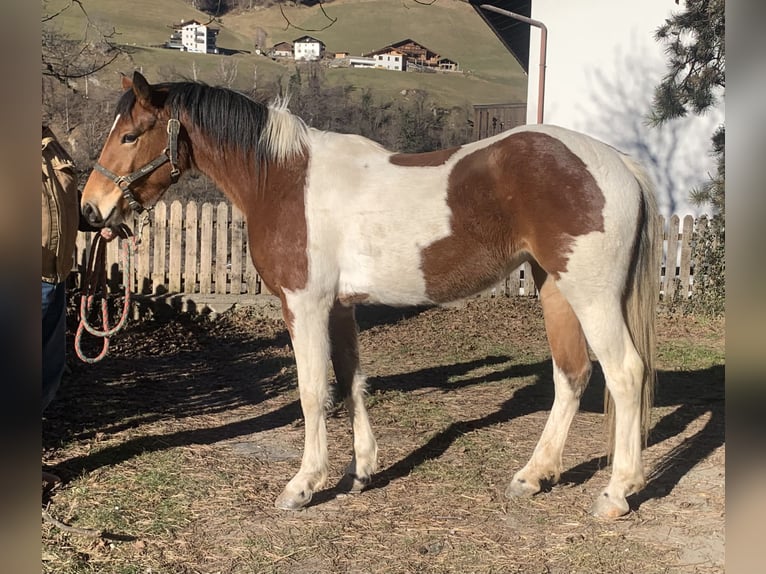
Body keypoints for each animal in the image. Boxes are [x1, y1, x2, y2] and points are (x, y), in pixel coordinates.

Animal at [81, 71, 660, 519]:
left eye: (130, 136)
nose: (91, 210)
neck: (284, 180)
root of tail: (617, 164)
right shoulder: (340, 307)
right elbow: (350, 381)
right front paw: (359, 472)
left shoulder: (306, 304)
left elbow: (312, 391)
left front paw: (303, 485)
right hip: (555, 289)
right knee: (572, 374)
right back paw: (533, 476)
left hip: (591, 295)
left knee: (625, 373)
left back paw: (617, 492)